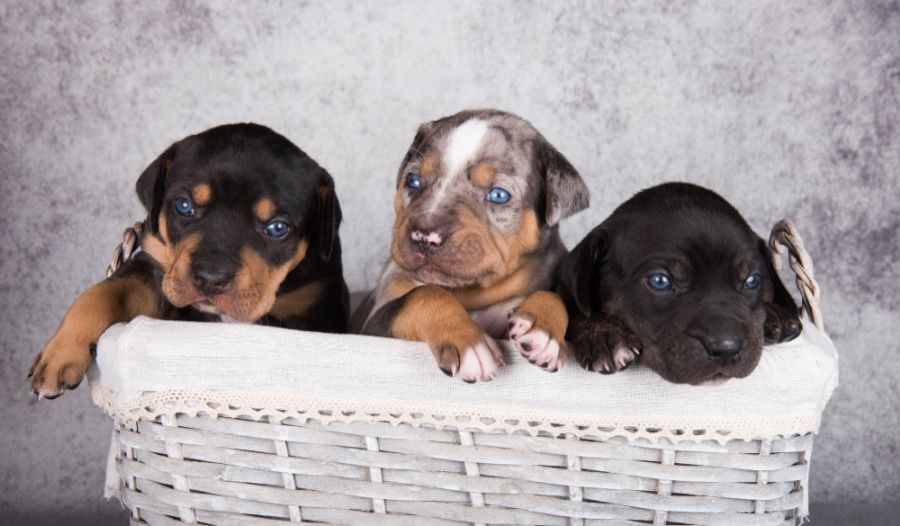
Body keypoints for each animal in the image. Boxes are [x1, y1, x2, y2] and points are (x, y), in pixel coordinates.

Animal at [29, 121, 350, 398]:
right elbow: (102, 292)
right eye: (184, 206)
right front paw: (60, 353)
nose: (210, 279)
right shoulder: (154, 267)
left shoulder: (317, 308)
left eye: (277, 228)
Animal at [352, 109, 592, 382]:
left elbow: (554, 295)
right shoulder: (375, 322)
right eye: (412, 181)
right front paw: (468, 341)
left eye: (498, 195)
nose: (424, 236)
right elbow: (425, 294)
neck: (472, 295)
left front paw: (541, 329)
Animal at [564, 184, 800, 386]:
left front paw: (776, 313)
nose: (726, 349)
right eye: (660, 281)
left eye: (752, 281)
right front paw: (604, 334)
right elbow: (577, 309)